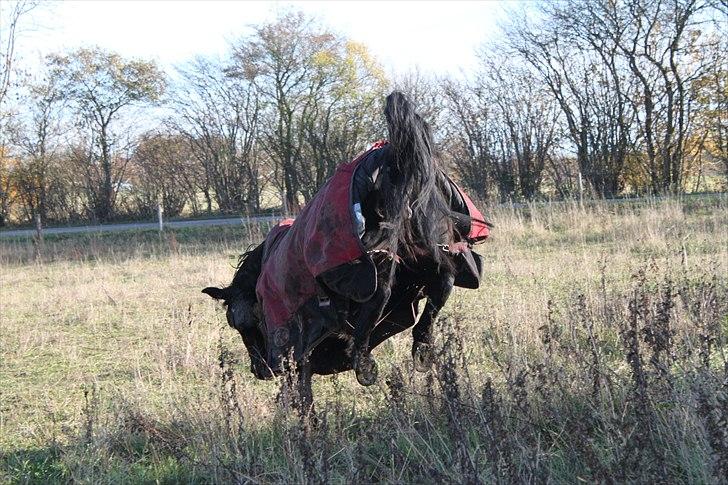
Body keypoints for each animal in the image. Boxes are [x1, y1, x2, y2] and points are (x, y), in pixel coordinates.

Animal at [203, 93, 490, 412]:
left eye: (237, 323)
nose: (260, 370)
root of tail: (391, 157)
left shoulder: (297, 352)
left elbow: (302, 399)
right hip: (429, 245)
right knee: (442, 281)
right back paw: (420, 348)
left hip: (370, 258)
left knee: (384, 291)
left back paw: (364, 362)